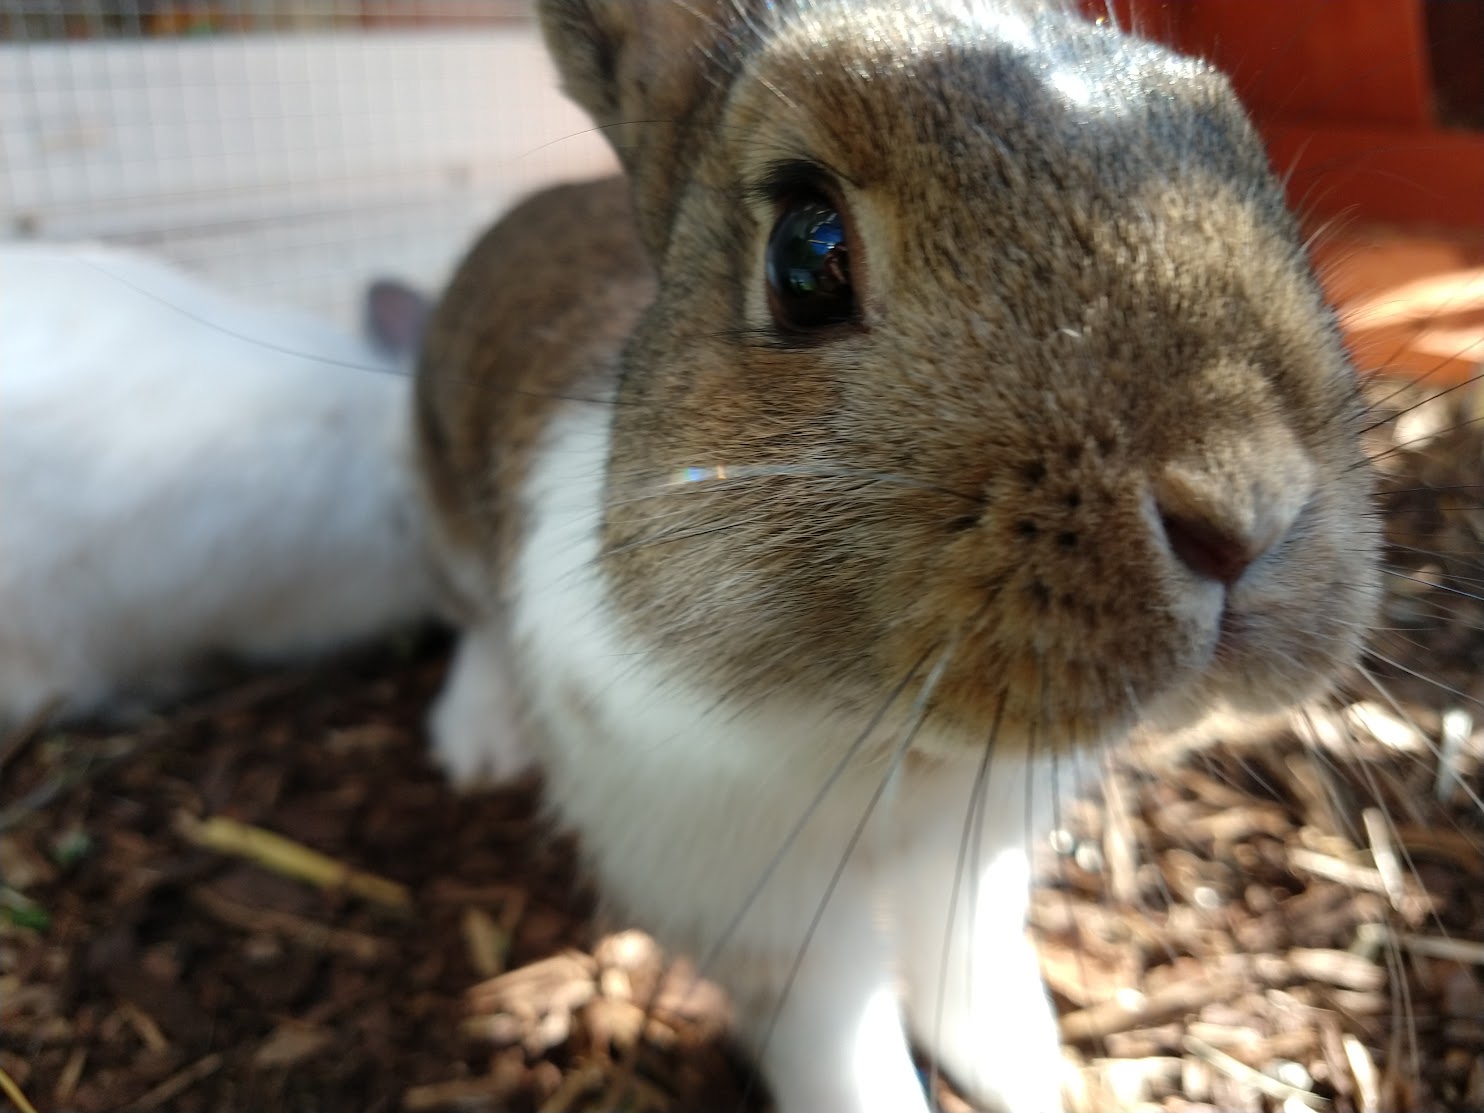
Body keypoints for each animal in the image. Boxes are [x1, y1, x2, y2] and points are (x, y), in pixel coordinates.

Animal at [413, 2, 1384, 1111]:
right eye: (806, 253)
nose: (1246, 508)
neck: (890, 737)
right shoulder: (769, 913)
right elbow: (841, 1044)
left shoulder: (969, 866)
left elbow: (973, 974)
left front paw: (1031, 1076)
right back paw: (476, 742)